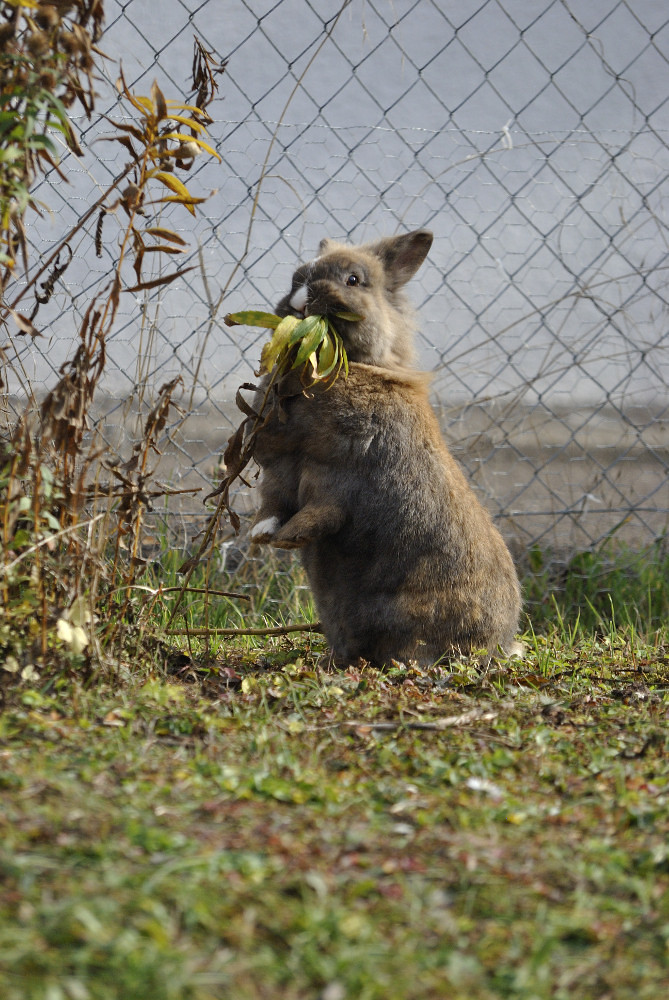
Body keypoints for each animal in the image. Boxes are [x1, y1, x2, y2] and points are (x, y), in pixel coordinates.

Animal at [247, 229, 522, 667]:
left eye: (353, 280)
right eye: (296, 276)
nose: (302, 297)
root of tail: (501, 642)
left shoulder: (339, 479)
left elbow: (319, 513)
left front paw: (288, 539)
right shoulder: (279, 469)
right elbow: (271, 505)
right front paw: (261, 535)